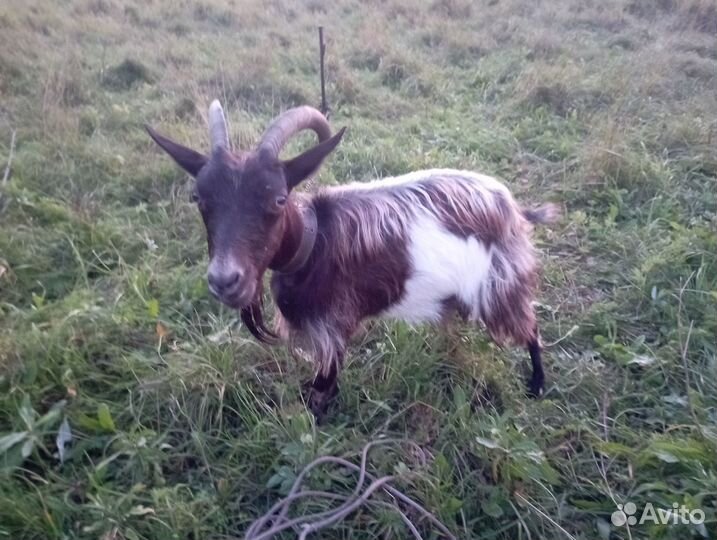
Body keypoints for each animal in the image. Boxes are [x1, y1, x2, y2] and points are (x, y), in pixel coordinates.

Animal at [146, 101, 558, 417]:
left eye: (278, 198)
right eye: (198, 198)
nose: (225, 281)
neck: (314, 243)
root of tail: (511, 206)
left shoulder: (334, 326)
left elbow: (324, 385)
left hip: (501, 282)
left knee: (530, 327)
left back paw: (536, 385)